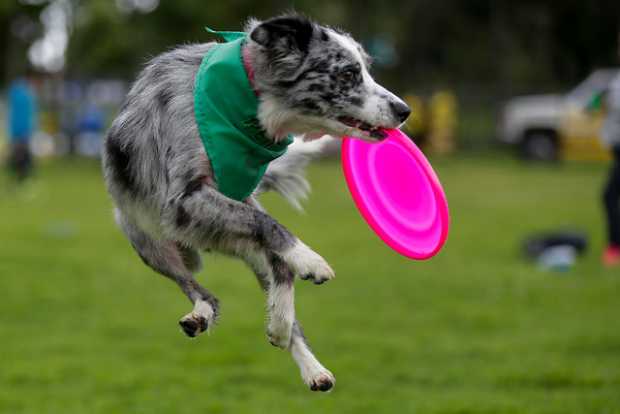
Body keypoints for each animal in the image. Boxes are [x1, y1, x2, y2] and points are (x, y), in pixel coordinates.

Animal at [102, 13, 412, 392]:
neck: (251, 98)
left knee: (277, 271)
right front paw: (310, 258)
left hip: (236, 238)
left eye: (366, 69)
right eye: (347, 74)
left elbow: (273, 239)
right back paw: (203, 313)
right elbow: (270, 225)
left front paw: (300, 274)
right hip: (148, 240)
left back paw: (299, 350)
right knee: (203, 289)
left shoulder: (230, 201)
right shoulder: (184, 199)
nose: (404, 110)